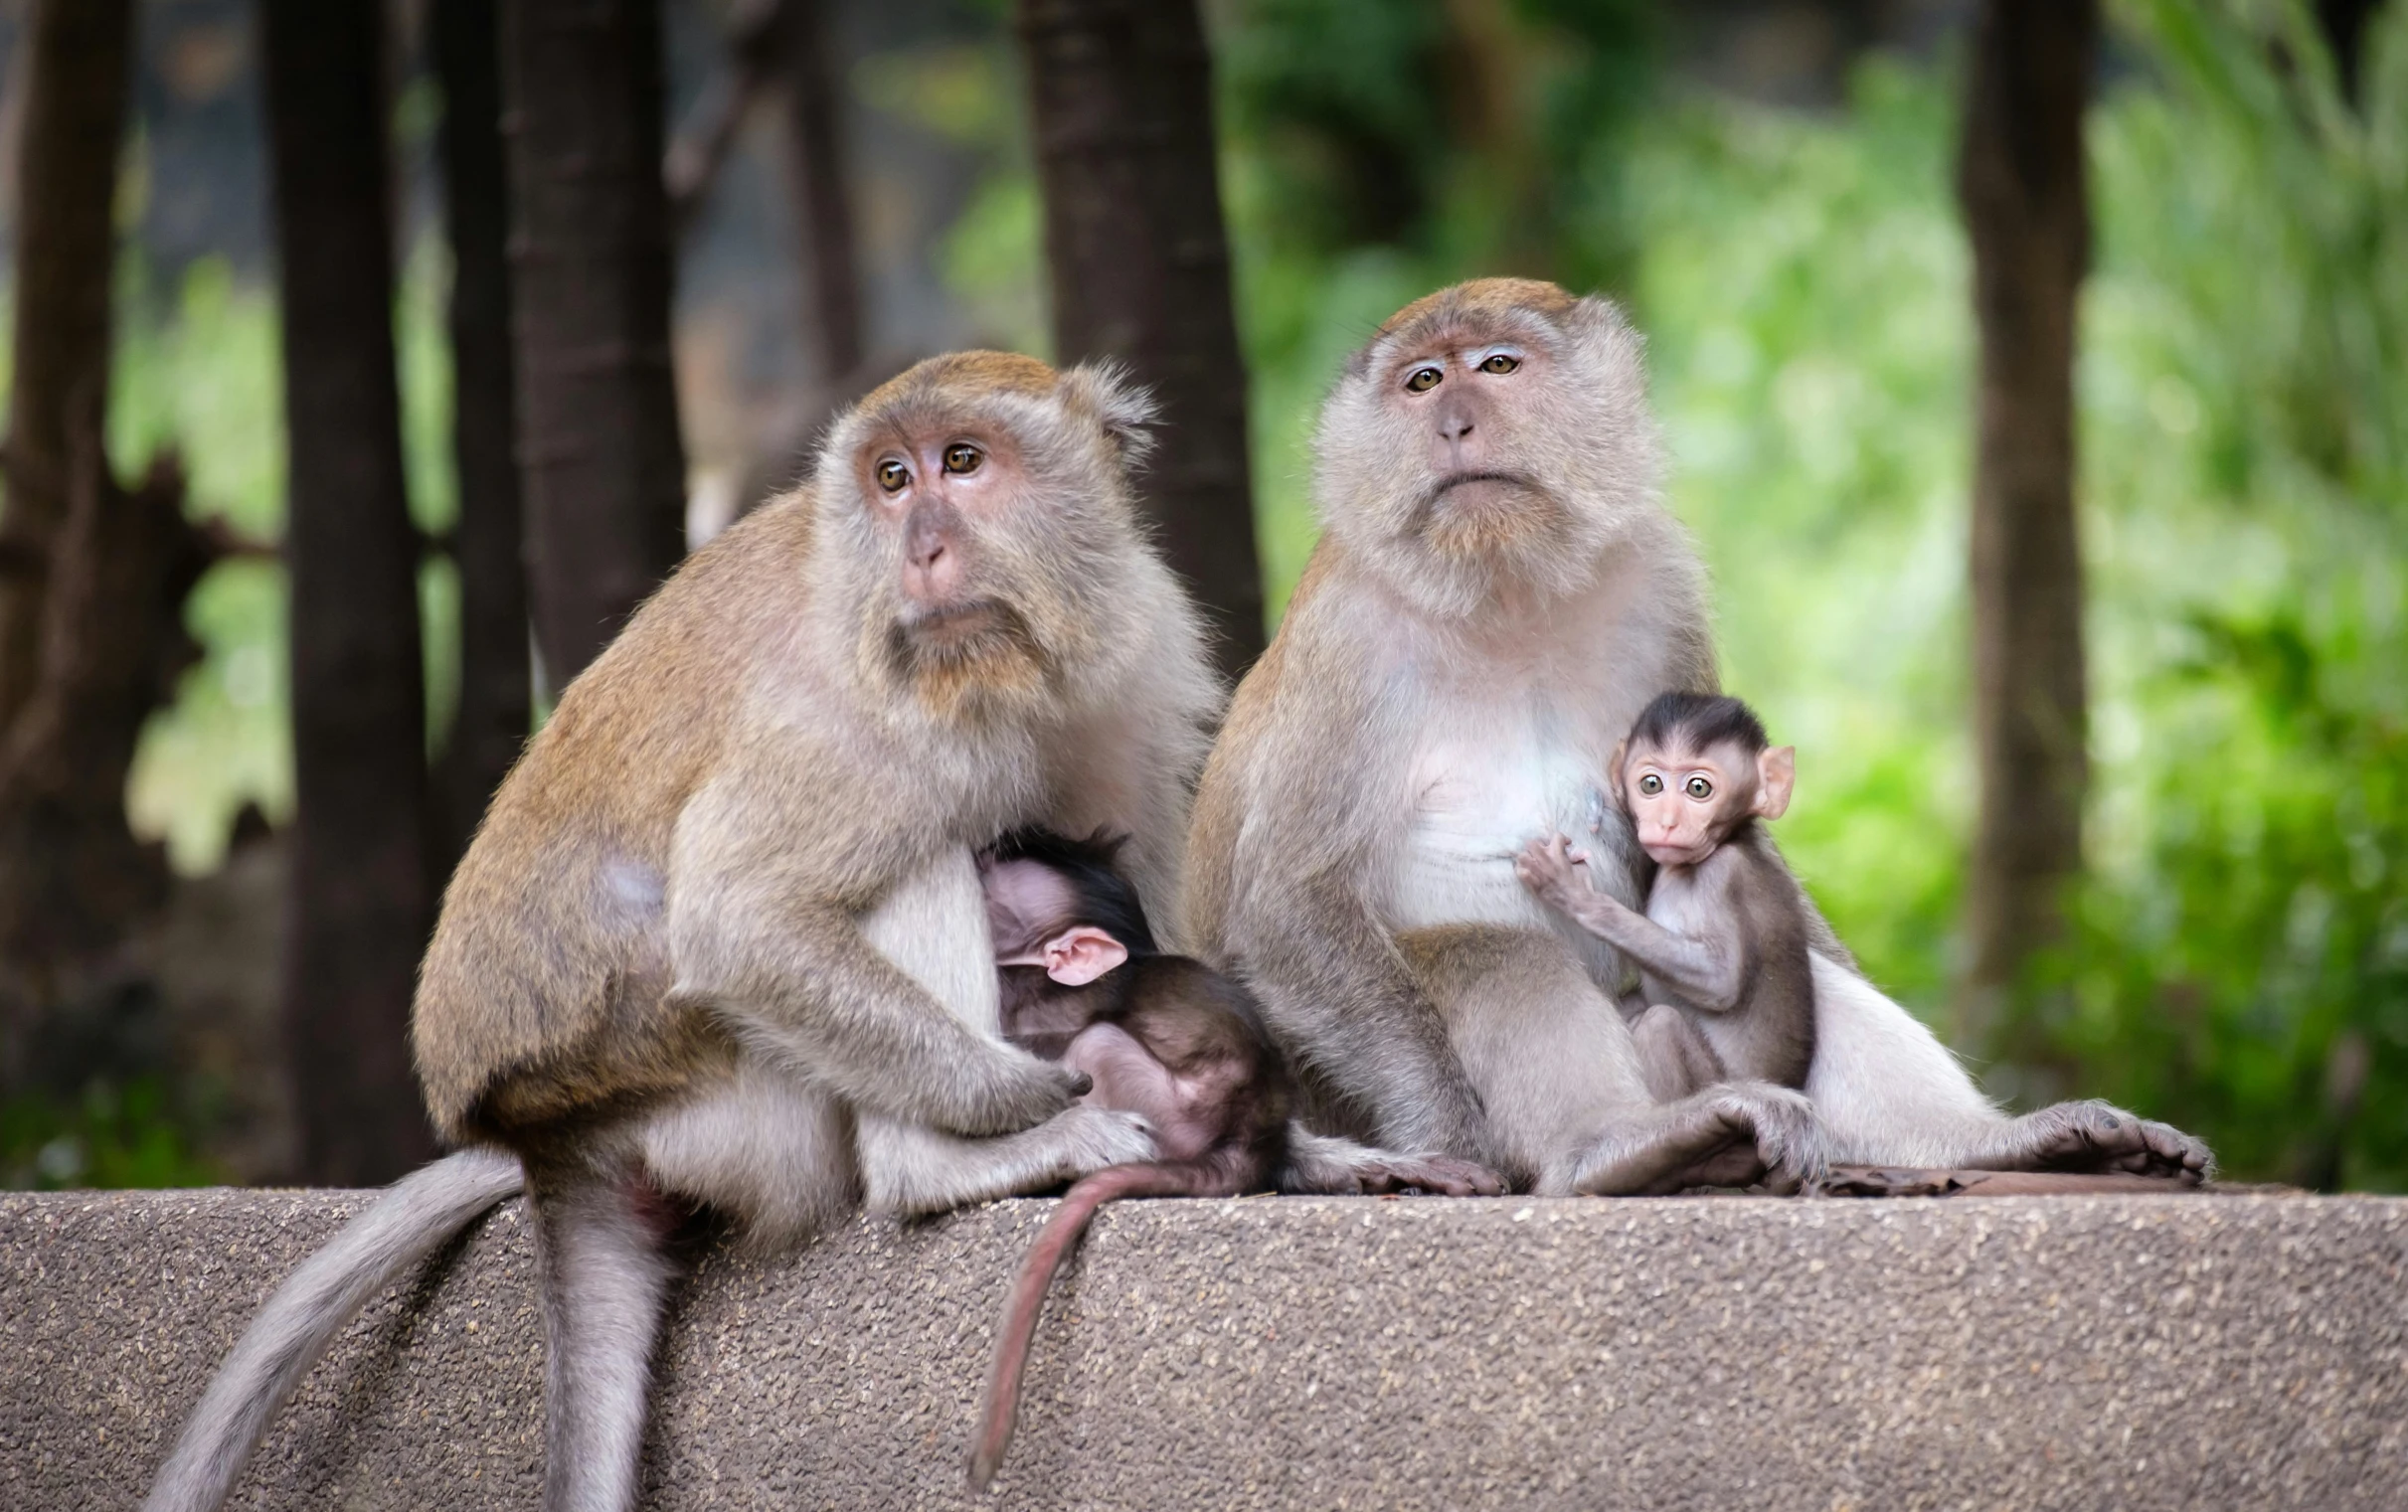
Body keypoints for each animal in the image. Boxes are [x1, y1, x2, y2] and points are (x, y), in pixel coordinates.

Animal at [155, 351, 1223, 1511]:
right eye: (892, 478)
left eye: (964, 461)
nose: (922, 549)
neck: (1006, 667)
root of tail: (547, 1134)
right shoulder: (852, 717)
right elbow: (736, 920)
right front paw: (1029, 1094)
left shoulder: (1136, 646)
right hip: (721, 1094)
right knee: (918, 857)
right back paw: (942, 1167)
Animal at [962, 828, 1299, 1492]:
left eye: (992, 878)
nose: (978, 850)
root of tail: (1251, 1142)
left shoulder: (1045, 1008)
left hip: (1168, 1108)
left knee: (1096, 1042)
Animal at [1521, 693, 1810, 1102]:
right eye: (1651, 784)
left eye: (1699, 789)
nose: (1667, 822)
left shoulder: (1723, 876)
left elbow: (1719, 982)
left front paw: (1575, 894)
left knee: (1660, 1024)